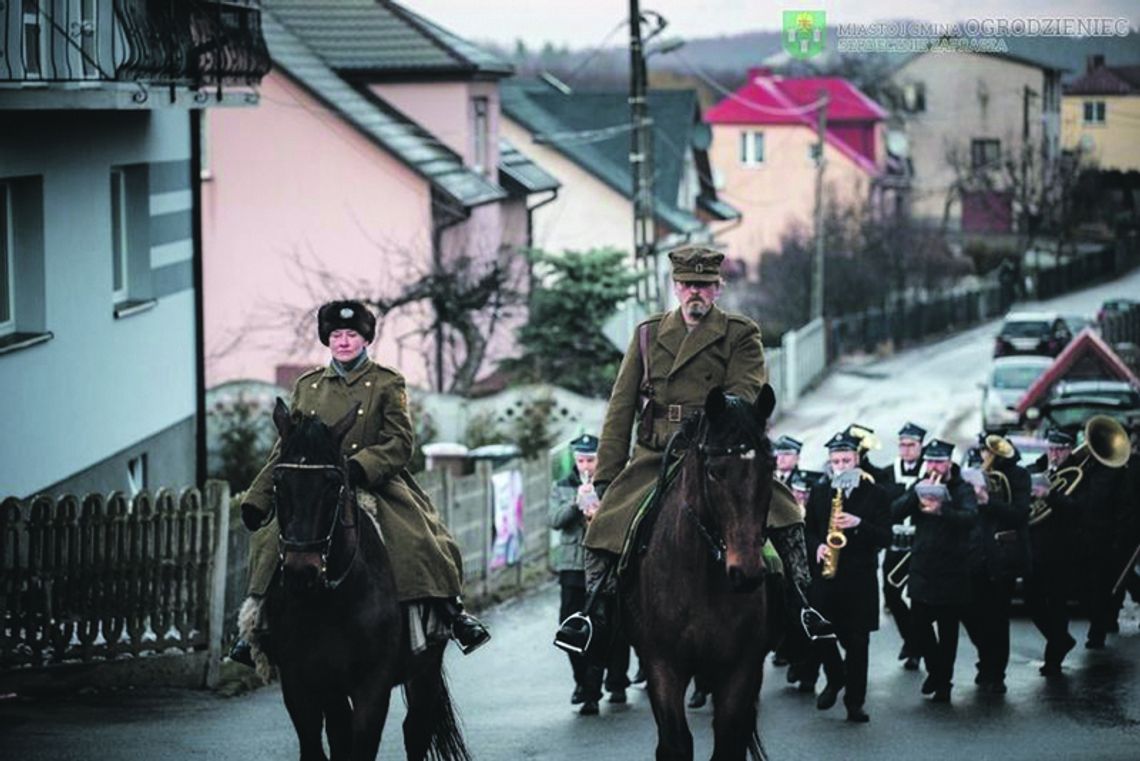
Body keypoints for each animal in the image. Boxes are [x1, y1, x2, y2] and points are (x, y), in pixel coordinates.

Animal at [257, 398, 467, 761]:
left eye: (333, 483)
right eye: (278, 481)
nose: (300, 570)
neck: (328, 600)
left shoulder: (372, 686)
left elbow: (362, 746)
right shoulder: (302, 685)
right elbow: (318, 747)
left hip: (424, 670)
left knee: (415, 730)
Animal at [624, 387, 784, 761]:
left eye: (770, 467)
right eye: (714, 472)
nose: (747, 571)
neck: (701, 578)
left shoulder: (741, 668)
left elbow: (728, 742)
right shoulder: (661, 665)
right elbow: (675, 743)